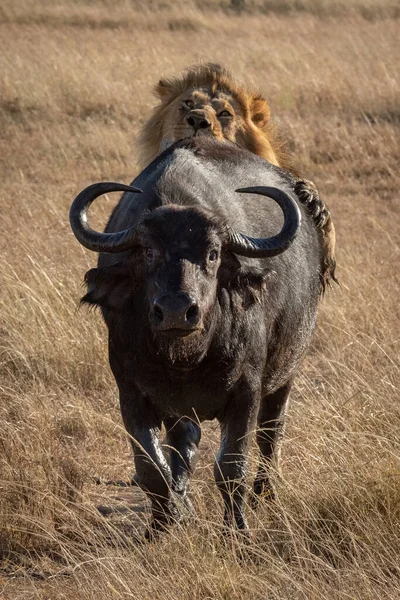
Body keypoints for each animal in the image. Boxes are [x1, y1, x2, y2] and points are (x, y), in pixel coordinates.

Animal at [69, 137, 324, 540]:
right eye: (148, 252)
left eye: (214, 254)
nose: (176, 310)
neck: (185, 360)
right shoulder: (131, 393)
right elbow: (151, 468)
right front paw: (162, 525)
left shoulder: (247, 391)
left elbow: (232, 467)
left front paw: (237, 530)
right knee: (183, 444)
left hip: (286, 374)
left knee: (271, 435)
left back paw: (264, 493)